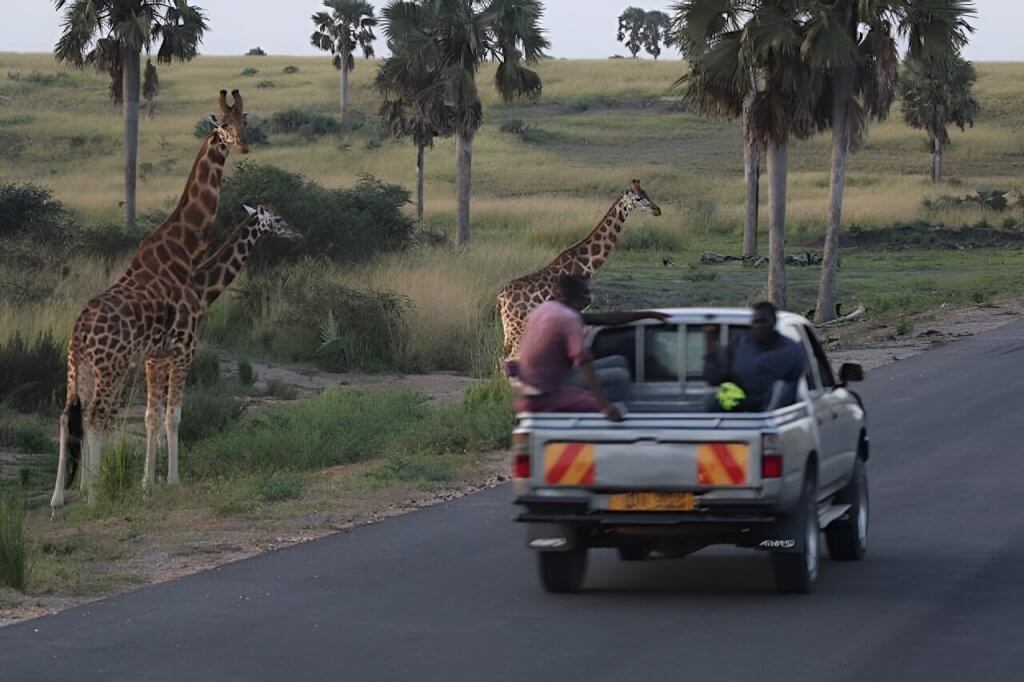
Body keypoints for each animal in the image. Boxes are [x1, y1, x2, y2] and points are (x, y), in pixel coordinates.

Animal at [51, 90, 250, 509]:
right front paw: (171, 480)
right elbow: (172, 414)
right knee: (97, 416)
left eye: (246, 120)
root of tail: (79, 333)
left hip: (78, 367)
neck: (185, 250)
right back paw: (94, 494)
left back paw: (61, 498)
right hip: (111, 366)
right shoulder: (181, 347)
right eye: (223, 124)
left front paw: (150, 482)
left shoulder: (154, 355)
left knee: (67, 415)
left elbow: (153, 416)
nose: (243, 144)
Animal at [496, 180, 662, 360]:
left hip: (510, 327)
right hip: (516, 326)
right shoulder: (577, 309)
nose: (657, 210)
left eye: (646, 194)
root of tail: (500, 298)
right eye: (638, 198)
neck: (586, 266)